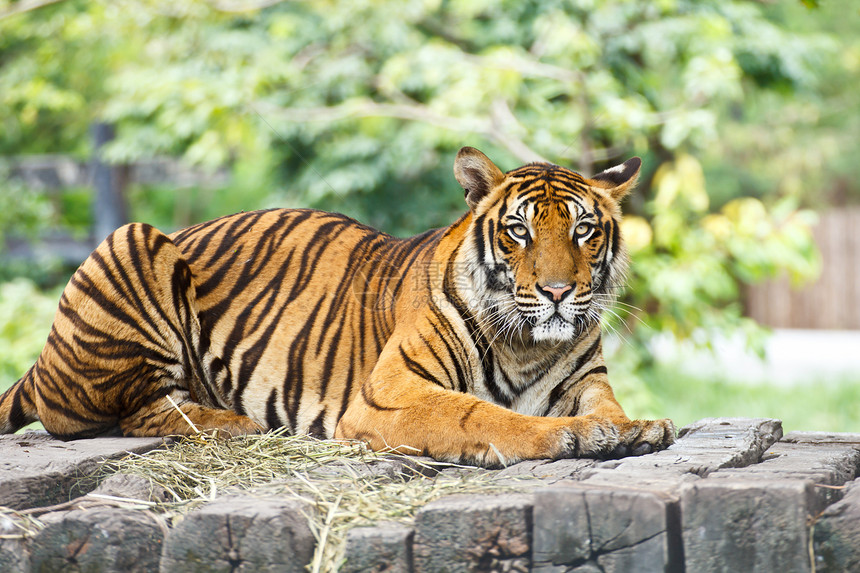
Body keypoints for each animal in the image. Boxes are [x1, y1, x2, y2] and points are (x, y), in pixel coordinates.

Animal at [0, 146, 676, 464]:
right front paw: (576, 437)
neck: (528, 347)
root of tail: (39, 363)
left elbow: (606, 407)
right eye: (519, 231)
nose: (560, 293)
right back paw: (239, 423)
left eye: (584, 231)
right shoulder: (391, 392)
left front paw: (634, 427)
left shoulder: (585, 380)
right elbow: (484, 416)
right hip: (132, 239)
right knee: (131, 413)